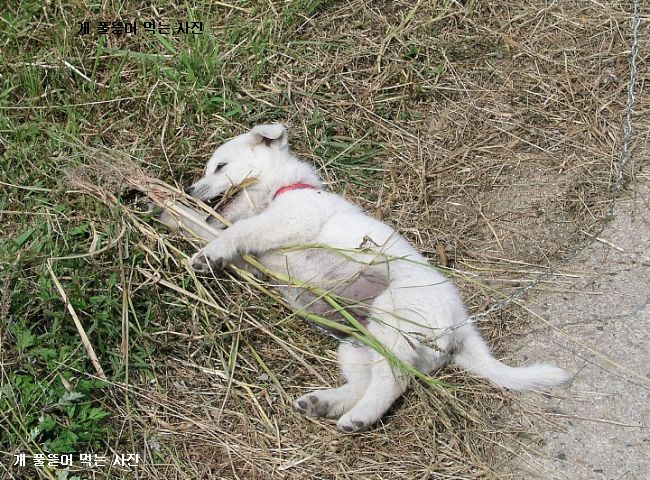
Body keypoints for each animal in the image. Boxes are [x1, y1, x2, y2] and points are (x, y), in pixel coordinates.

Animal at [159, 125, 564, 434]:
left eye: (220, 166)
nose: (190, 190)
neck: (283, 190)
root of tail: (462, 325)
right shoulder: (257, 260)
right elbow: (204, 227)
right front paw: (166, 211)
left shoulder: (289, 222)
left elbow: (234, 232)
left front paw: (205, 252)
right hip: (359, 344)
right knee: (366, 381)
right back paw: (324, 403)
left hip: (394, 319)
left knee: (392, 380)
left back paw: (358, 418)